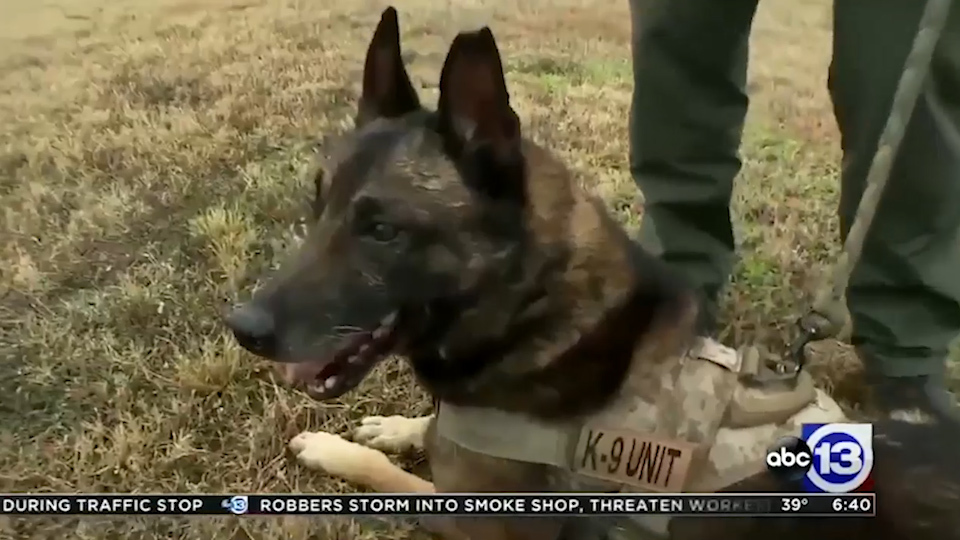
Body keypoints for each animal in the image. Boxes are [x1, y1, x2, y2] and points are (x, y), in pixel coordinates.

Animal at [225, 7, 960, 540]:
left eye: (383, 231)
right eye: (318, 206)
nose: (242, 327)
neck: (533, 312)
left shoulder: (473, 519)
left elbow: (391, 479)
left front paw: (341, 450)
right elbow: (423, 428)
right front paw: (394, 427)